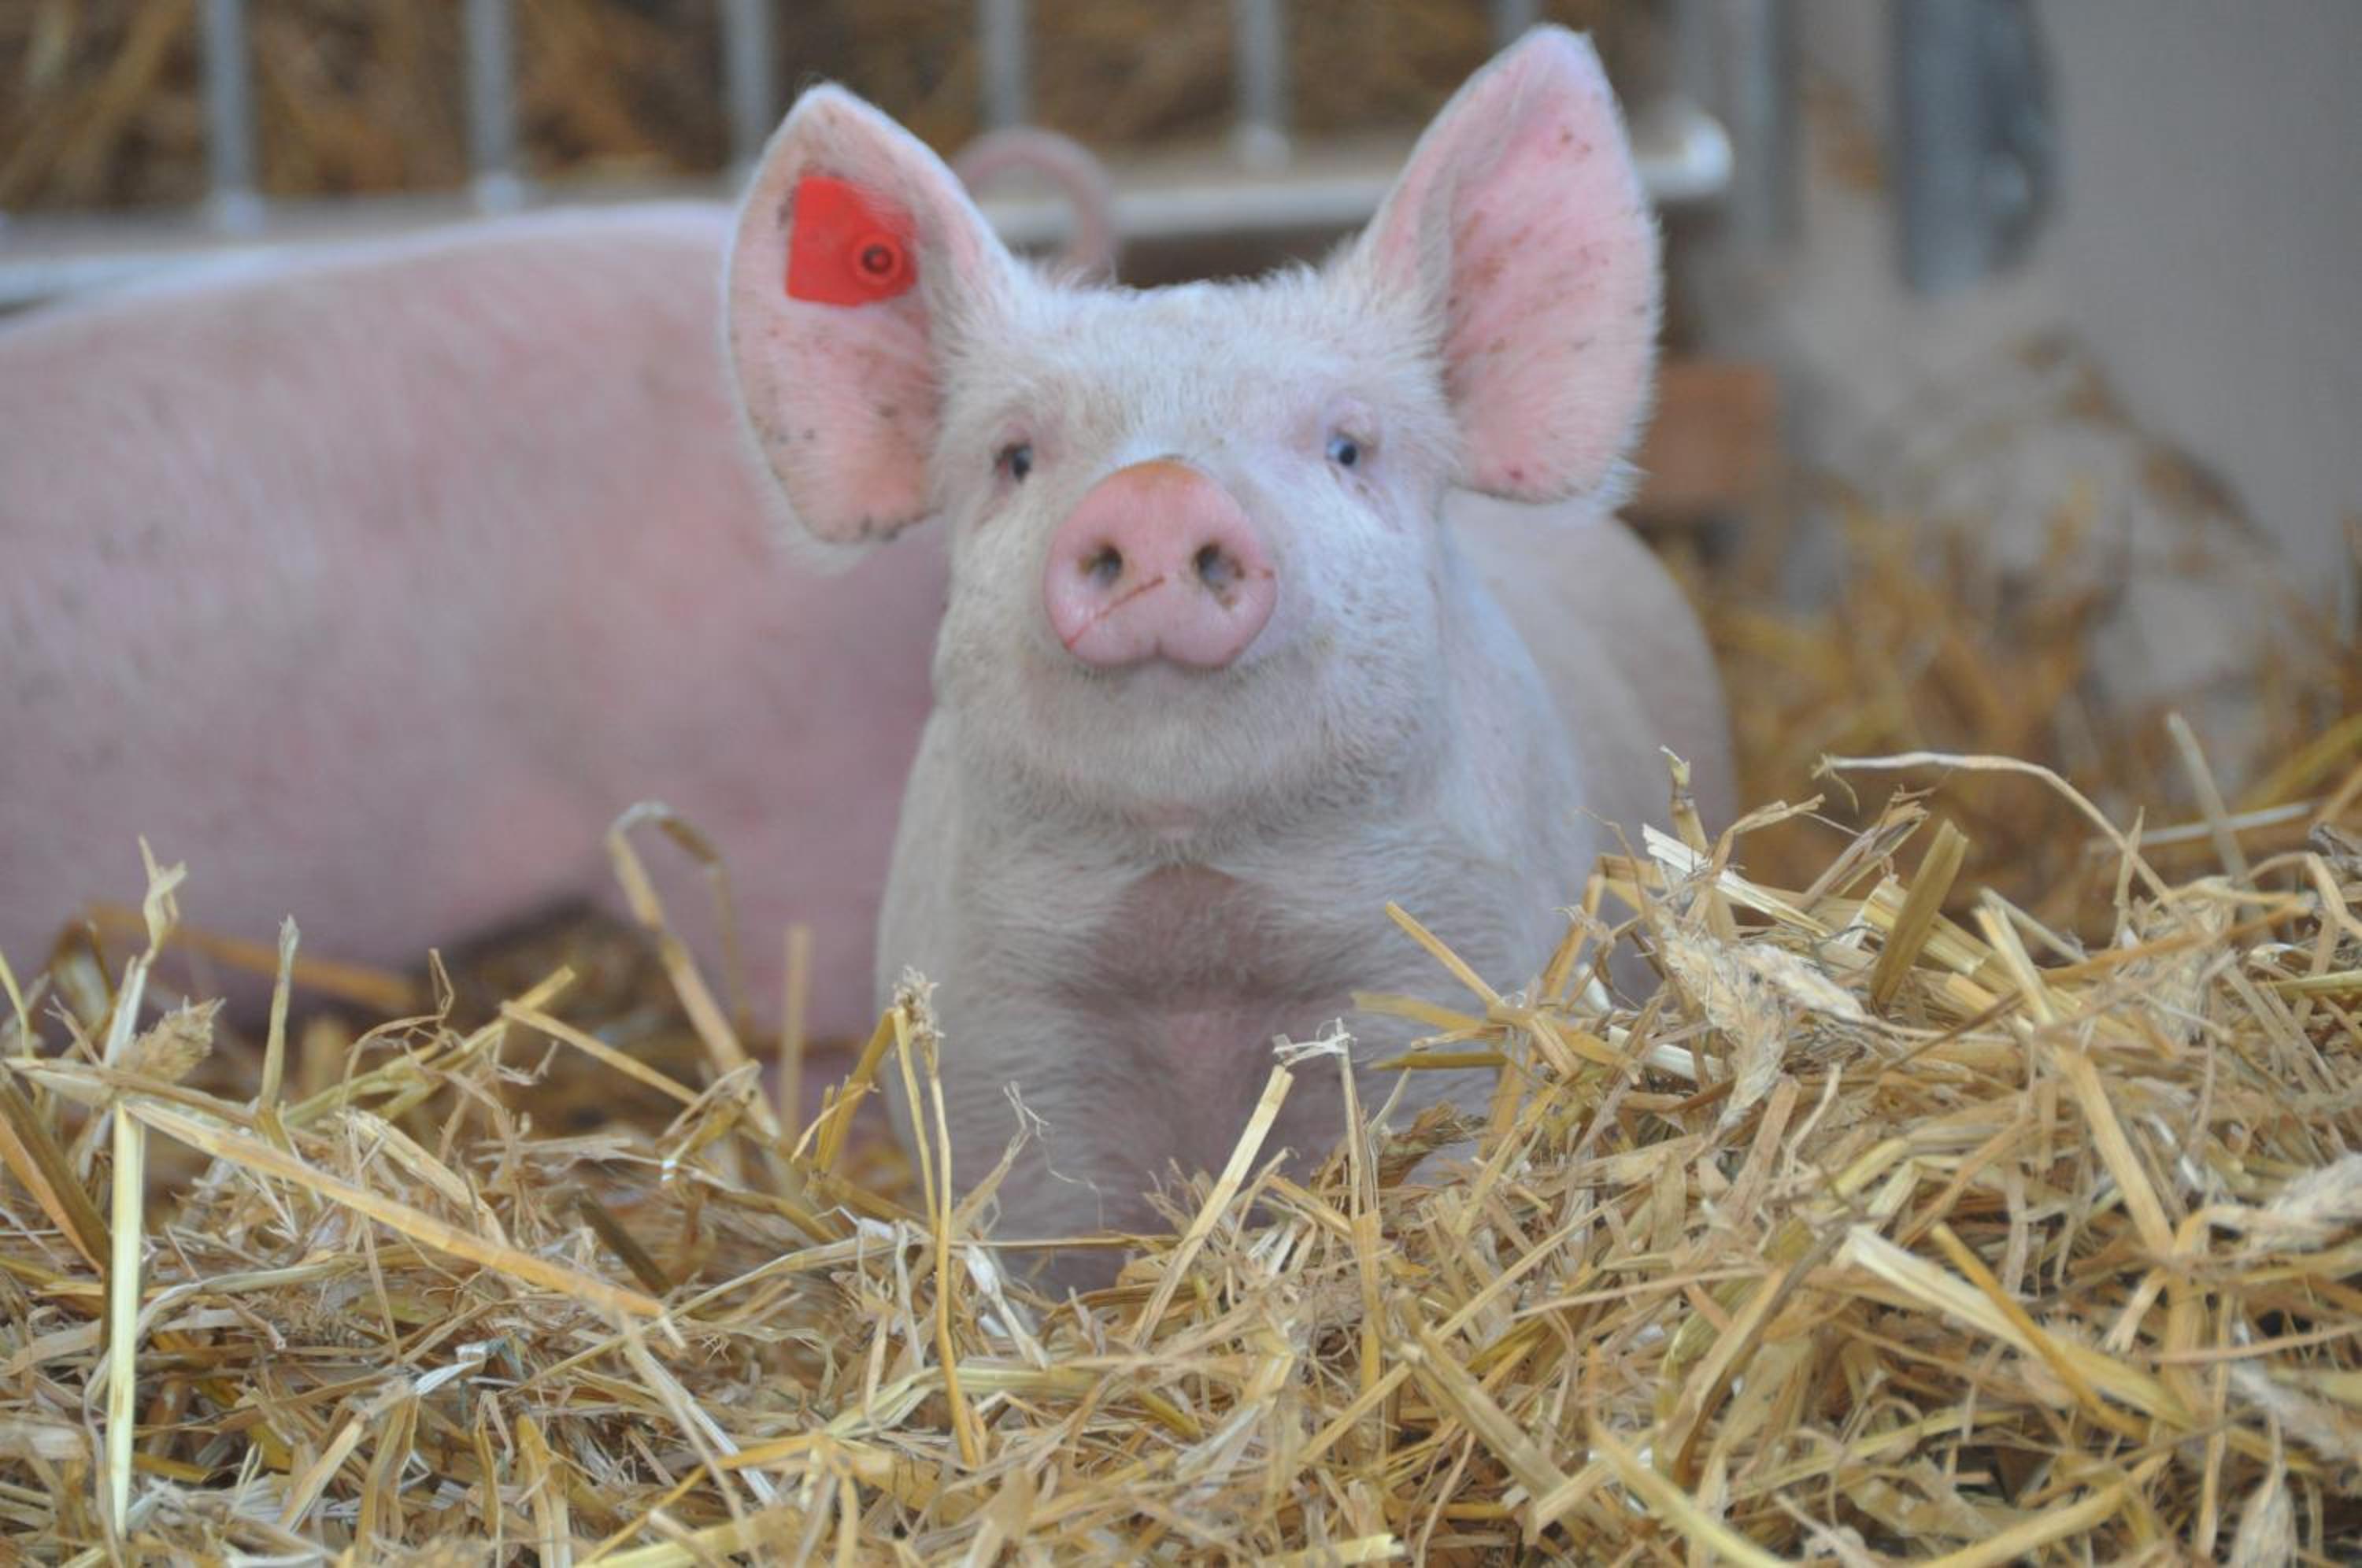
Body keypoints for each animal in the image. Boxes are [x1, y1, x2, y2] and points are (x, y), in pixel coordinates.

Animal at [721, 26, 1733, 1289]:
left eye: (1347, 446)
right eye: (1014, 457)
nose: (1158, 491)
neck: (1195, 937)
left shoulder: (1455, 970)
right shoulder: (995, 1031)